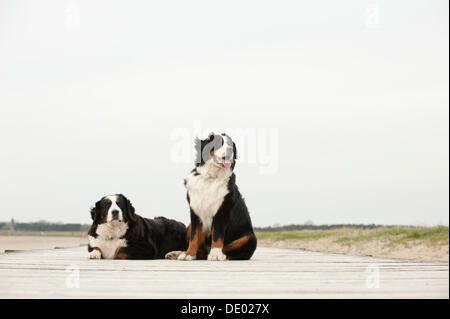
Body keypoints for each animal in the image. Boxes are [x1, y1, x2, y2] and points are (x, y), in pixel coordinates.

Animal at [166, 134, 258, 262]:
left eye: (230, 144)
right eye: (219, 143)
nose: (230, 150)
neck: (210, 177)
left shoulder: (222, 211)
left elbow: (217, 235)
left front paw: (215, 254)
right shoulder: (194, 211)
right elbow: (194, 237)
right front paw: (188, 254)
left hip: (250, 238)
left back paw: (223, 255)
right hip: (188, 227)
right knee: (201, 251)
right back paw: (177, 253)